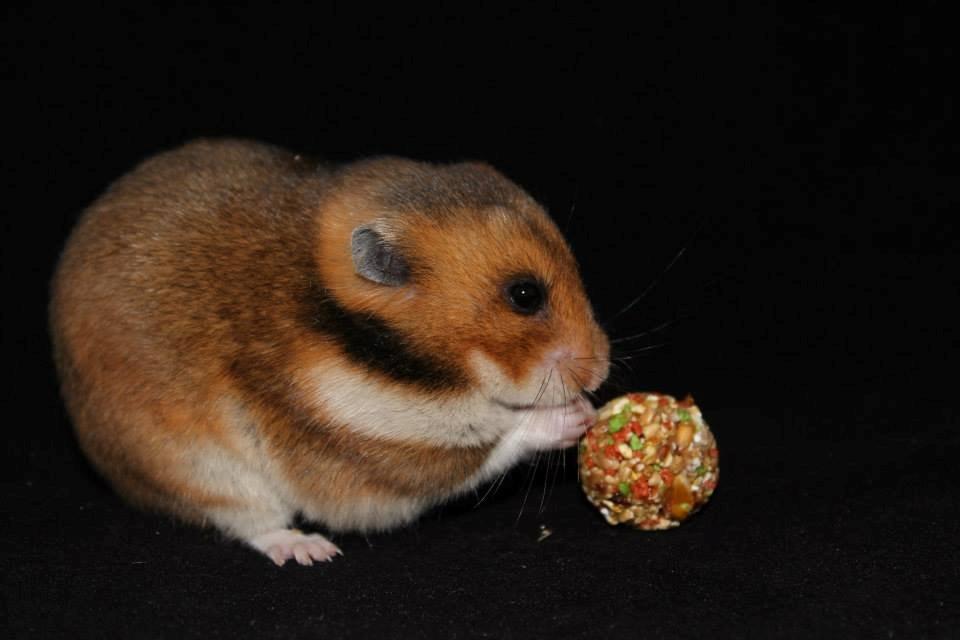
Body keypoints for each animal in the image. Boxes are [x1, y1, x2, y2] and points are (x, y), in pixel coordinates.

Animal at [49, 139, 610, 566]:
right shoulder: (375, 453)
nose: (601, 373)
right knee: (250, 521)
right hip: (198, 470)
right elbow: (492, 442)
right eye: (525, 295)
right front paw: (576, 416)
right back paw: (310, 550)